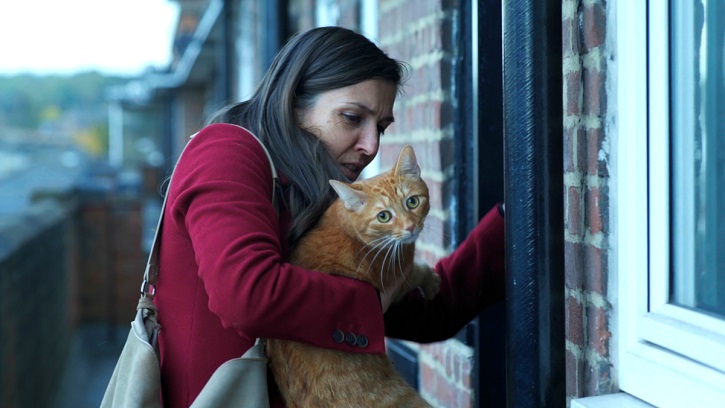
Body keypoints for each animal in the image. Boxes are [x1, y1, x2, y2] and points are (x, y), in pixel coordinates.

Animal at [264, 146, 436, 408]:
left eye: (412, 202)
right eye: (384, 216)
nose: (410, 228)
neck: (348, 224)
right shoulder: (396, 276)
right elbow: (417, 270)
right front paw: (431, 280)